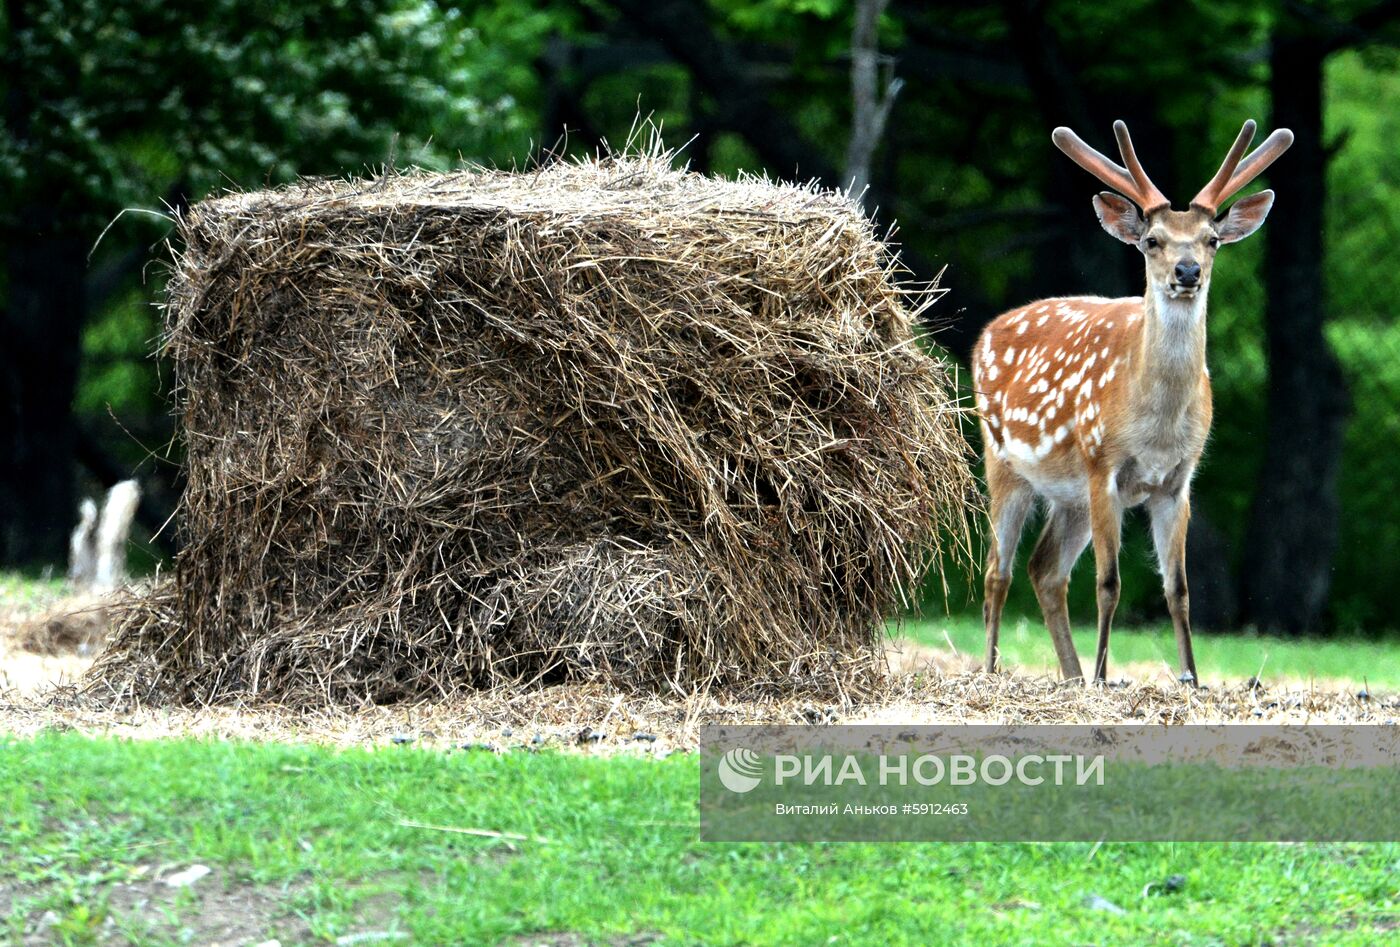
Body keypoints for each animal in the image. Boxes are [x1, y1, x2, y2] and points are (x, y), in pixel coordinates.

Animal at [974, 120, 1288, 680]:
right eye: (1151, 240)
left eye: (1212, 240)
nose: (1187, 271)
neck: (1156, 427)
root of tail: (985, 333)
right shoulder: (1104, 466)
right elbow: (1109, 584)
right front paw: (1104, 678)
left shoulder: (1178, 481)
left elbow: (1179, 589)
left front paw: (1191, 679)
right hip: (1003, 461)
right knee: (998, 572)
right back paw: (993, 673)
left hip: (1069, 494)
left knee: (1044, 568)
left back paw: (1071, 677)